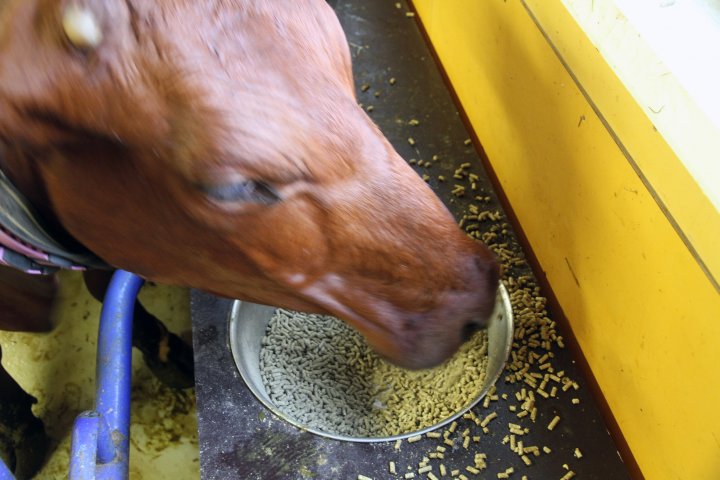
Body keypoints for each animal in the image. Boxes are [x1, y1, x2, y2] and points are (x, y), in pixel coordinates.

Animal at [0, 0, 498, 476]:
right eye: (231, 187)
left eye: (341, 52)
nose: (478, 292)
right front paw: (22, 432)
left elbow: (107, 288)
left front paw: (166, 352)